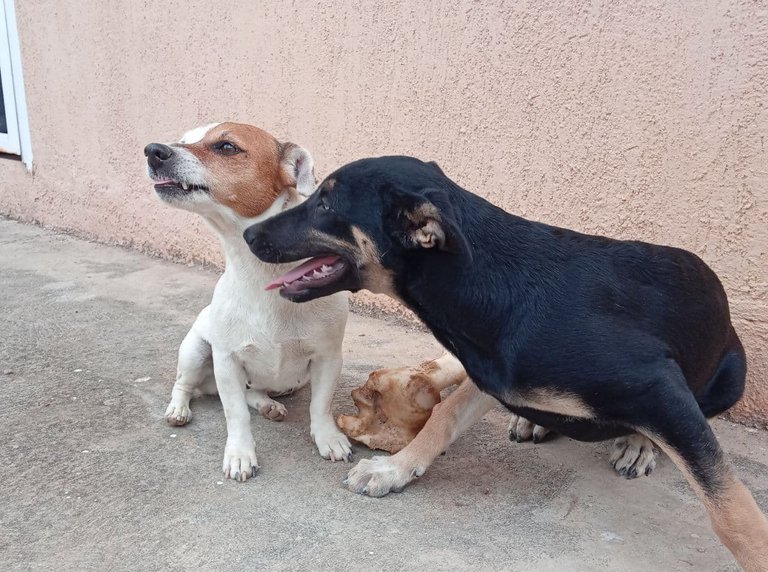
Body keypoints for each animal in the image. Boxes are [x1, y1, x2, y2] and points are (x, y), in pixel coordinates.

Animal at [143, 123, 352, 480]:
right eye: (184, 140)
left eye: (226, 146)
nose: (153, 150)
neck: (263, 272)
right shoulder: (227, 361)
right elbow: (236, 414)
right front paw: (240, 455)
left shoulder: (328, 358)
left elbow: (320, 405)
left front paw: (329, 438)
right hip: (195, 351)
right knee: (184, 385)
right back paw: (178, 409)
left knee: (253, 392)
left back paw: (268, 405)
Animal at [244, 155, 768, 568]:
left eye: (326, 204)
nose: (247, 232)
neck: (489, 287)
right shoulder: (489, 373)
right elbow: (443, 415)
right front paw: (395, 468)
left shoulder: (657, 384)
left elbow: (731, 510)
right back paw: (534, 421)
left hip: (730, 377)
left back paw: (638, 444)